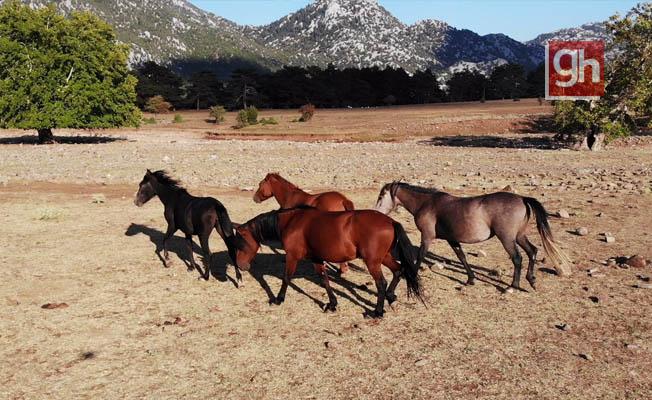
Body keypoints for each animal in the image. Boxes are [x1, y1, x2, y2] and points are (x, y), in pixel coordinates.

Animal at [232, 206, 420, 318]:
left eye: (240, 243)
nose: (241, 266)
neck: (292, 222)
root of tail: (390, 221)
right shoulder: (316, 258)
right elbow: (325, 280)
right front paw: (332, 304)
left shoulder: (292, 256)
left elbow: (286, 278)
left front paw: (278, 299)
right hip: (385, 257)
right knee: (399, 271)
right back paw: (391, 297)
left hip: (373, 262)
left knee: (381, 283)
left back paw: (377, 312)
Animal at [374, 182, 572, 290]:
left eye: (381, 196)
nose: (376, 213)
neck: (427, 203)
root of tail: (522, 199)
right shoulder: (452, 239)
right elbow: (461, 257)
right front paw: (470, 279)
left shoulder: (427, 236)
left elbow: (421, 256)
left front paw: (412, 275)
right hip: (520, 236)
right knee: (532, 251)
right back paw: (530, 280)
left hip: (507, 237)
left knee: (517, 258)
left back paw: (513, 286)